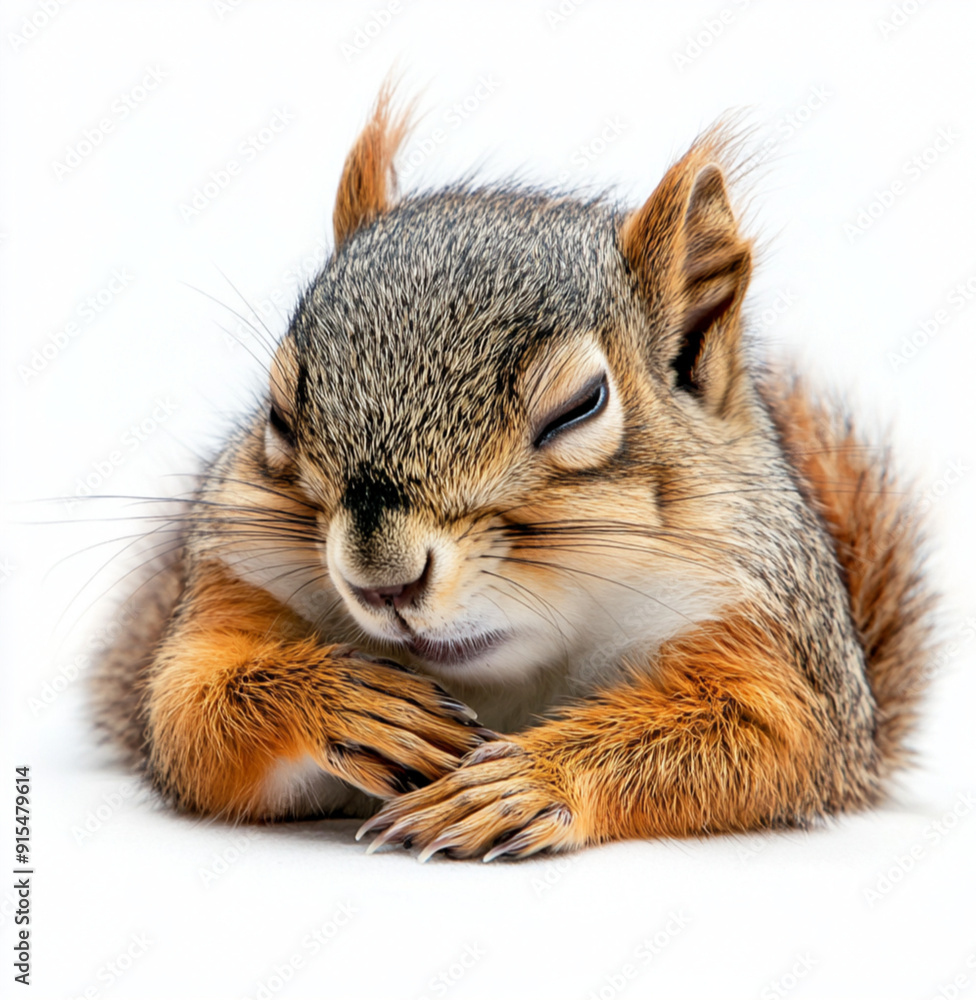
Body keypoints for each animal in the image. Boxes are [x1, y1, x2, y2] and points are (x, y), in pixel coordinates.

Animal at [91, 86, 934, 861]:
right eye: (278, 413)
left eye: (580, 405)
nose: (381, 580)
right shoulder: (237, 576)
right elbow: (188, 716)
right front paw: (352, 705)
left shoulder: (765, 640)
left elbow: (771, 742)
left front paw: (525, 780)